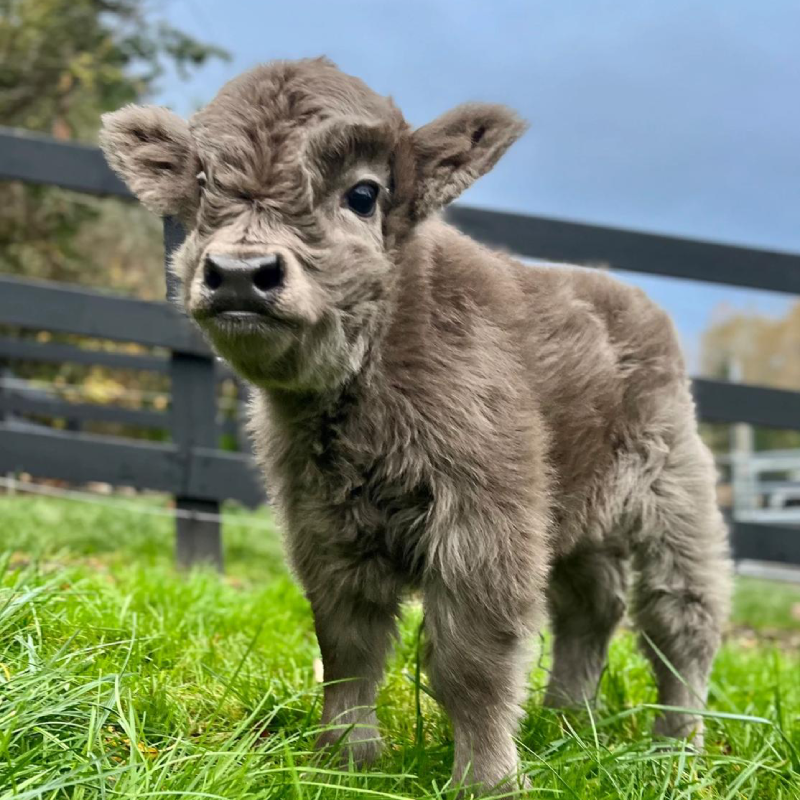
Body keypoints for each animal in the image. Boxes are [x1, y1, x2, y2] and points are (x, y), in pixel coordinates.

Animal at [100, 57, 732, 792]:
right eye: (202, 184)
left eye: (364, 194)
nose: (239, 274)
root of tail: (629, 297)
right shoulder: (322, 526)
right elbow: (347, 647)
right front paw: (341, 760)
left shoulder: (483, 527)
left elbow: (471, 660)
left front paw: (487, 781)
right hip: (578, 518)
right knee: (591, 607)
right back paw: (568, 723)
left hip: (674, 502)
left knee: (681, 620)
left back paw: (676, 752)